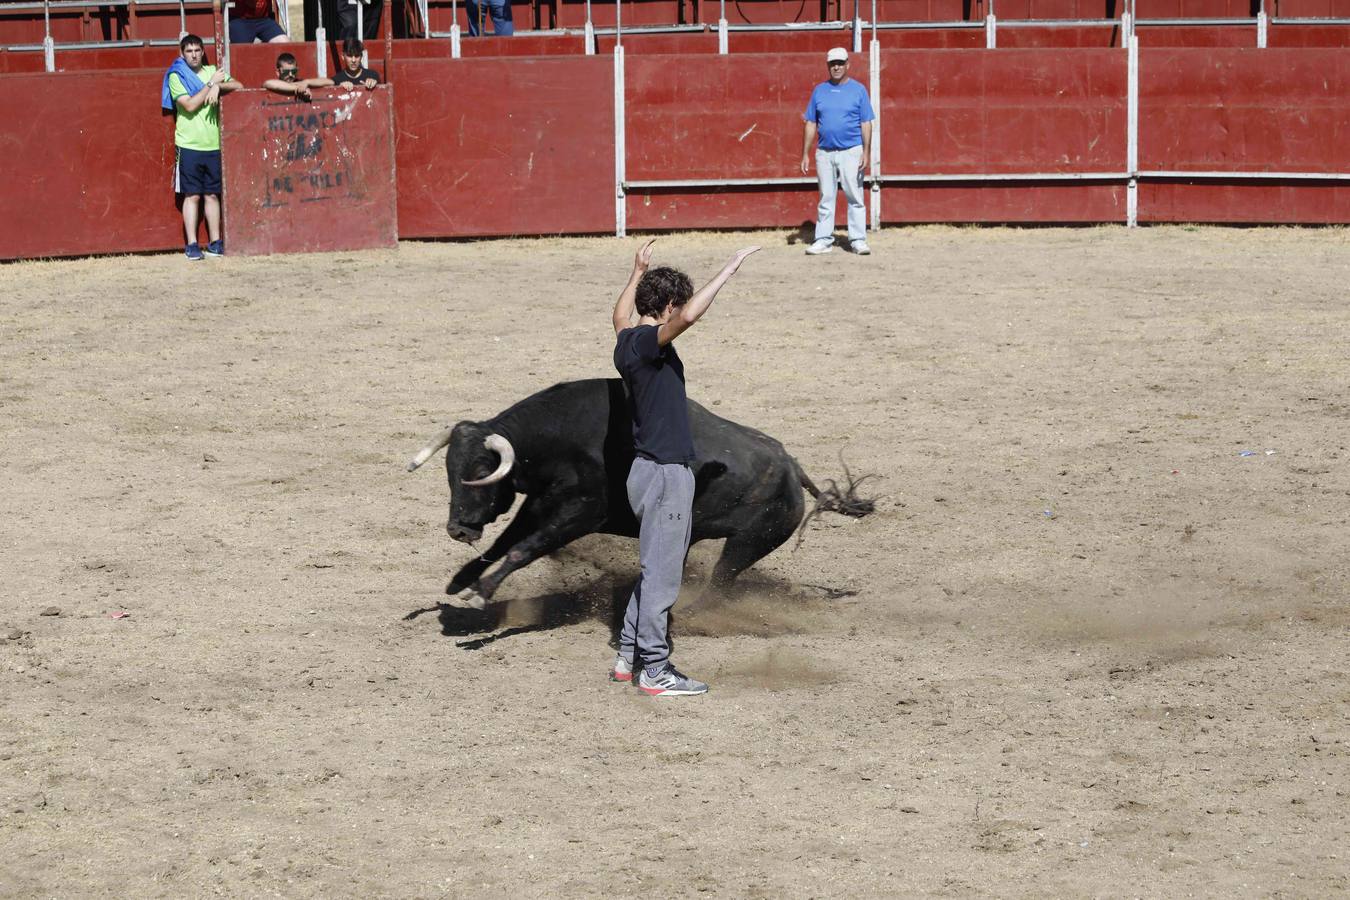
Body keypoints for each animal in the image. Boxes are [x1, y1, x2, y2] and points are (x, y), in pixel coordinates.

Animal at [405, 377, 869, 609]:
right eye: (449, 471)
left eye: (481, 471)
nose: (457, 529)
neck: (563, 435)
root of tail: (793, 468)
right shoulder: (540, 503)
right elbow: (506, 543)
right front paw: (462, 581)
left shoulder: (582, 513)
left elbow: (523, 549)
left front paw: (481, 593)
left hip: (749, 544)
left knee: (720, 583)